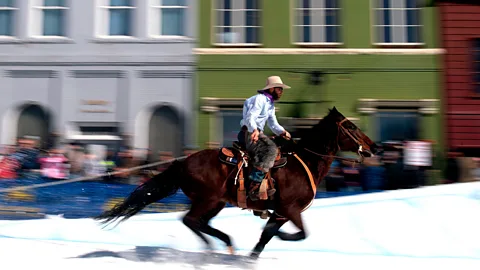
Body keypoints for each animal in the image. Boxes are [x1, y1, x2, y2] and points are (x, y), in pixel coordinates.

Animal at [94, 106, 378, 258]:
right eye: (351, 127)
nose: (373, 147)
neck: (303, 161)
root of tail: (183, 162)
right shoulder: (290, 209)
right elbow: (299, 234)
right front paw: (281, 237)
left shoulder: (280, 212)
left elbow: (266, 237)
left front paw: (252, 257)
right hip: (207, 199)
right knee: (190, 220)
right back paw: (217, 245)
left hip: (217, 202)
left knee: (200, 222)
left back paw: (224, 243)